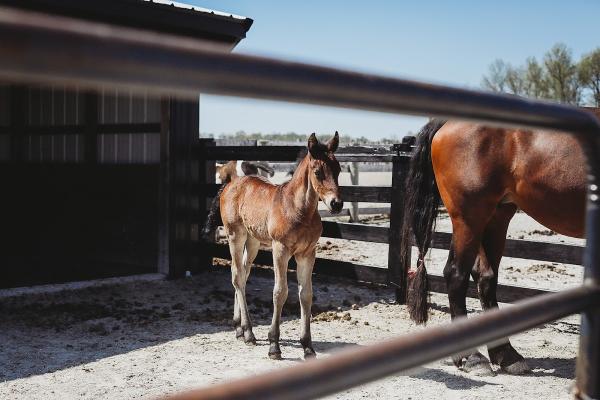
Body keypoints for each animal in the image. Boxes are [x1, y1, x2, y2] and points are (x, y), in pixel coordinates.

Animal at [211, 132, 342, 360]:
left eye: (339, 169)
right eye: (318, 172)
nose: (337, 204)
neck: (299, 210)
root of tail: (230, 183)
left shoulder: (308, 253)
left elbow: (306, 295)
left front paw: (307, 346)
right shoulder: (280, 250)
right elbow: (280, 292)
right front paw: (274, 345)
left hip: (253, 241)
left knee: (244, 274)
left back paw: (240, 328)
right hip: (235, 235)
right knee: (237, 275)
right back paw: (249, 332)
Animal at [398, 115, 592, 376]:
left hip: (496, 216)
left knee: (485, 277)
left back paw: (506, 354)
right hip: (469, 217)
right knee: (456, 274)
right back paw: (472, 357)